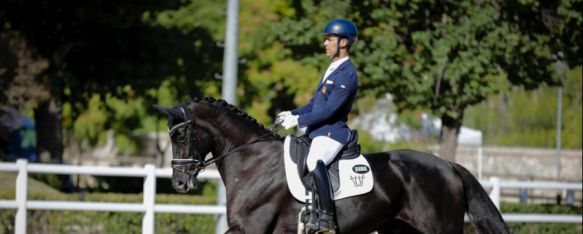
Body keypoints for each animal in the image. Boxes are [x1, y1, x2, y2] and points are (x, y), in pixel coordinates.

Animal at [153, 96, 508, 233]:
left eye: (181, 134)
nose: (180, 184)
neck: (253, 162)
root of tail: (448, 165)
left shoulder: (251, 228)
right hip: (398, 229)